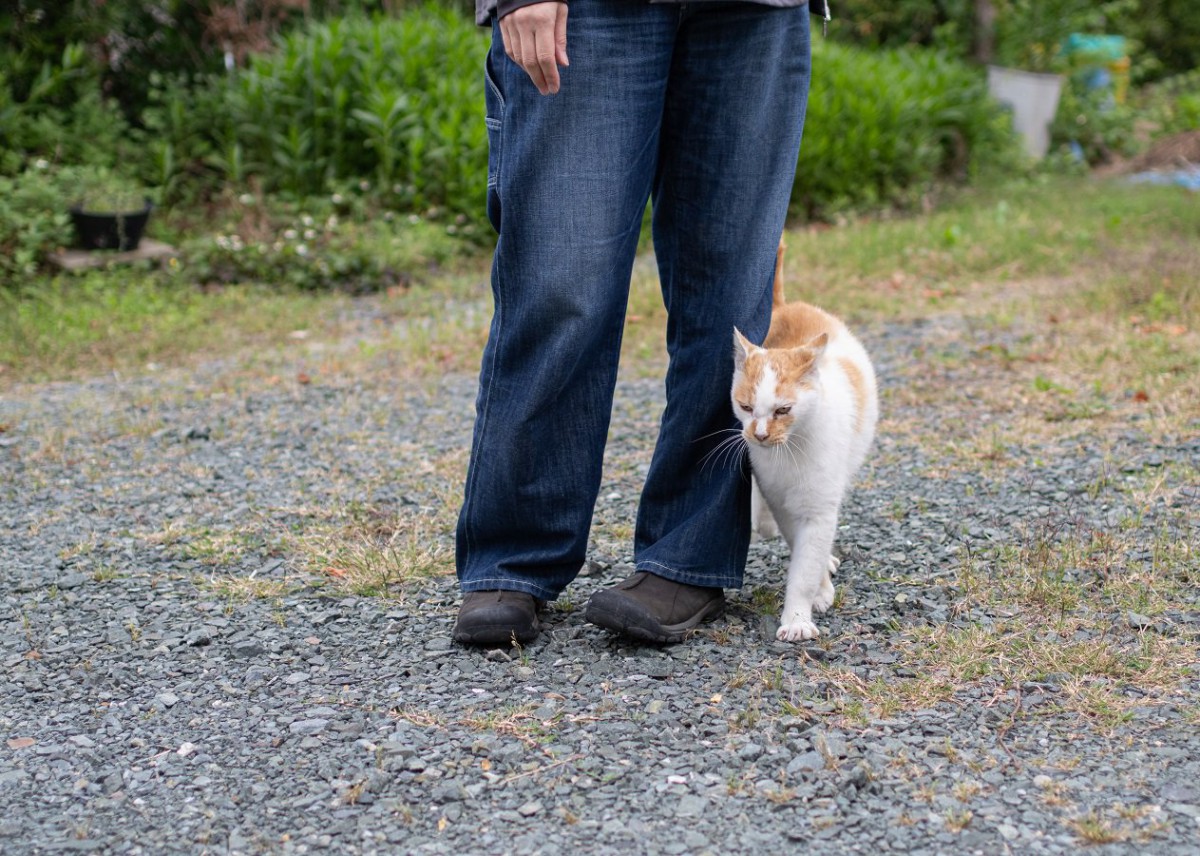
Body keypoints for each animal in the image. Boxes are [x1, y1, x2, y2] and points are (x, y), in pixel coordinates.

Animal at [724, 243, 878, 638]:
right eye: (745, 406)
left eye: (783, 410)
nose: (760, 434)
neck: (788, 452)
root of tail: (784, 306)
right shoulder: (781, 500)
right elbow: (799, 549)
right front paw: (820, 590)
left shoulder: (818, 507)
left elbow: (806, 566)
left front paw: (798, 618)